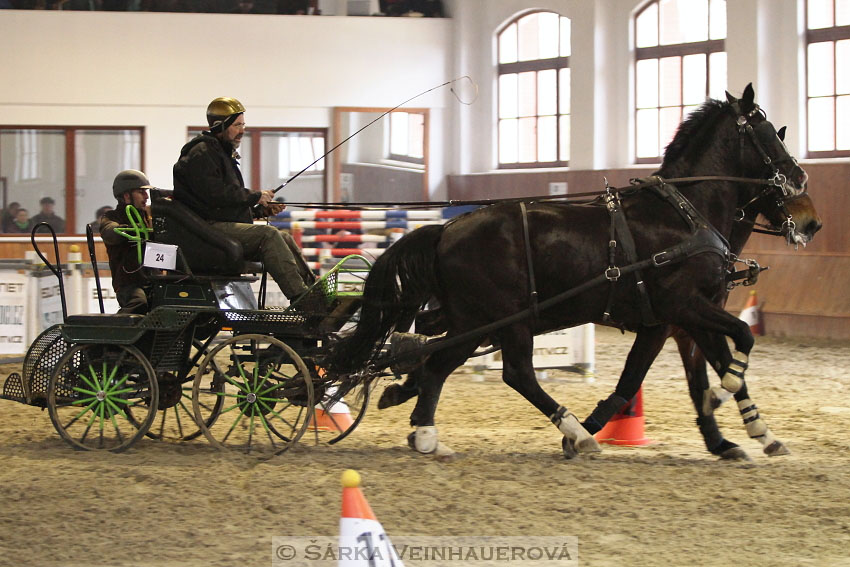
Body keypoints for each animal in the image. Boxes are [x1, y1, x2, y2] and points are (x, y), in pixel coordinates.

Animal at [328, 84, 820, 460]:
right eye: (768, 135)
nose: (809, 213)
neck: (686, 216)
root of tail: (448, 228)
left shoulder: (680, 321)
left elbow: (698, 369)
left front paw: (741, 436)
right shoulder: (680, 308)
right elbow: (734, 345)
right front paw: (722, 401)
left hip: (478, 321)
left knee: (440, 361)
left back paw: (425, 431)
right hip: (502, 320)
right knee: (512, 373)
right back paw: (573, 432)